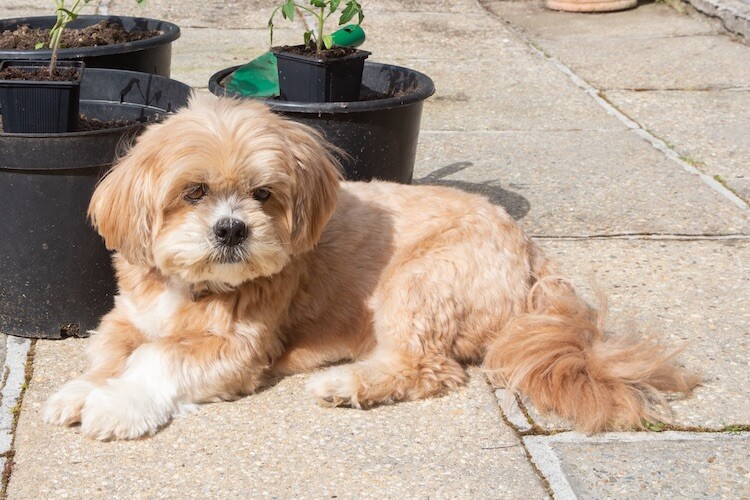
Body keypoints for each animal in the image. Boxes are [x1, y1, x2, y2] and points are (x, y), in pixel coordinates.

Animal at [42, 95, 700, 440]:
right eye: (194, 192)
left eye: (263, 195)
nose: (231, 229)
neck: (191, 288)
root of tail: (533, 254)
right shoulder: (126, 317)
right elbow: (112, 353)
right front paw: (83, 389)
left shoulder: (236, 348)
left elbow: (156, 359)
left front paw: (114, 405)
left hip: (417, 282)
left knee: (427, 368)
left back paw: (347, 383)